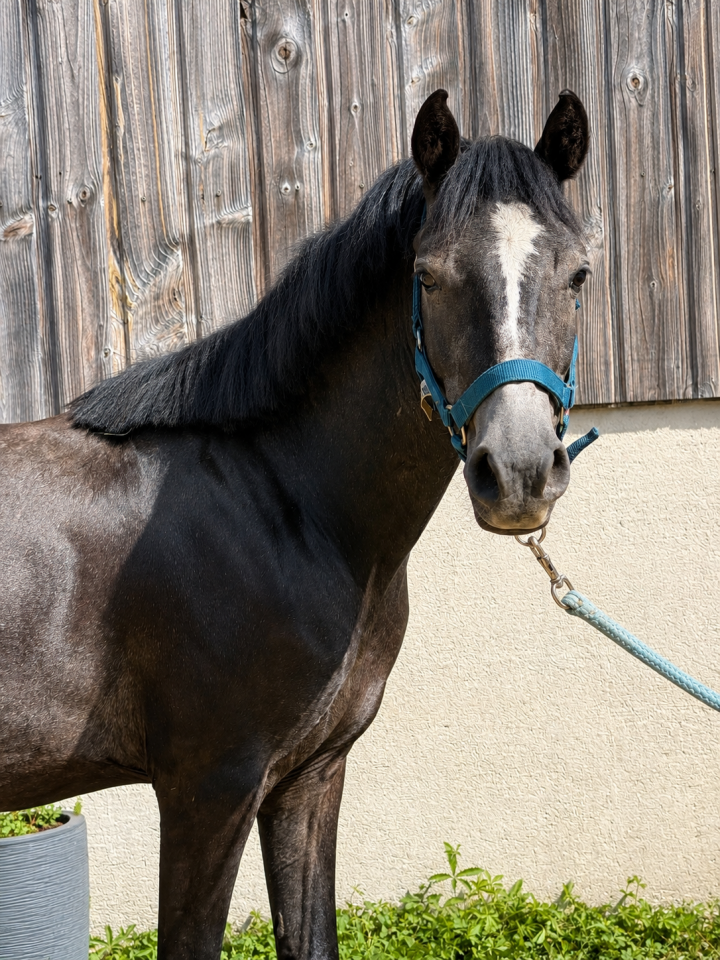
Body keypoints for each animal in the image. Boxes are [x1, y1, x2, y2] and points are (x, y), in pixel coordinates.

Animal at [0, 89, 589, 959]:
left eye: (579, 273)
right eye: (428, 275)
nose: (516, 472)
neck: (283, 505)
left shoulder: (310, 778)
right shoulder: (209, 788)